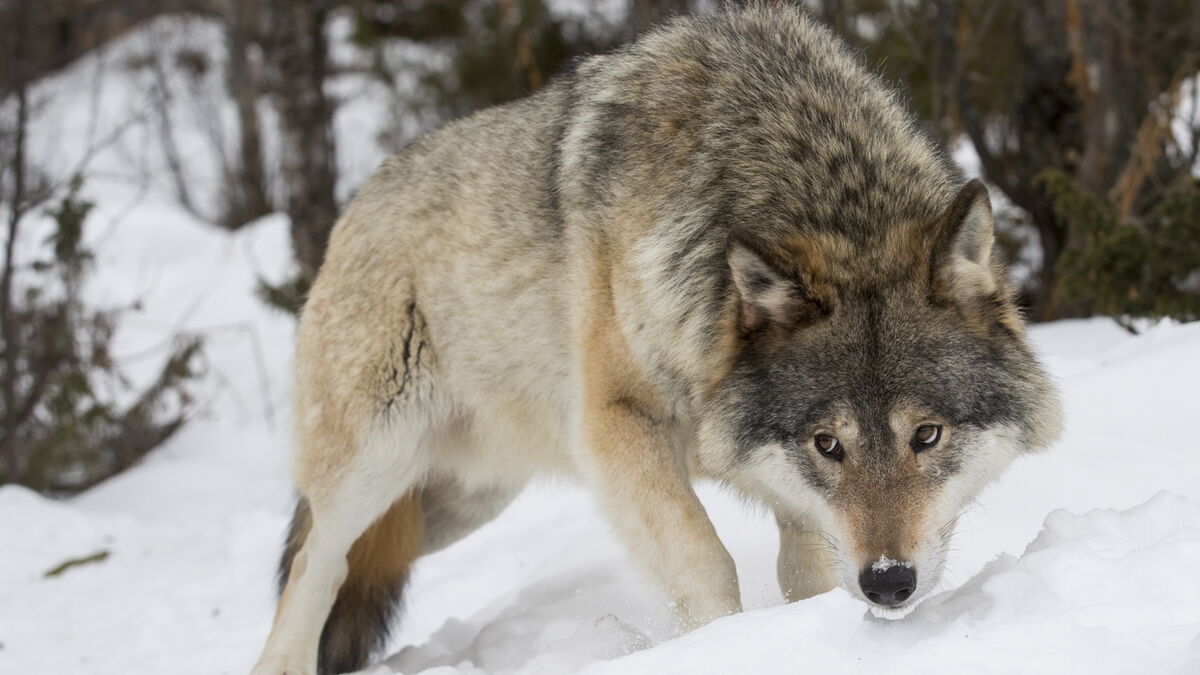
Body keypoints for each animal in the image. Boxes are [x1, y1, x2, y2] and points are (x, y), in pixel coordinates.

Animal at [250, 5, 1061, 674]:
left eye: (927, 434)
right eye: (829, 444)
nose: (888, 583)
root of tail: (354, 206)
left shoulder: (791, 492)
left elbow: (806, 572)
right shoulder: (616, 426)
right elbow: (703, 563)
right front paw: (719, 646)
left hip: (457, 506)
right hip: (374, 466)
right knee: (312, 570)